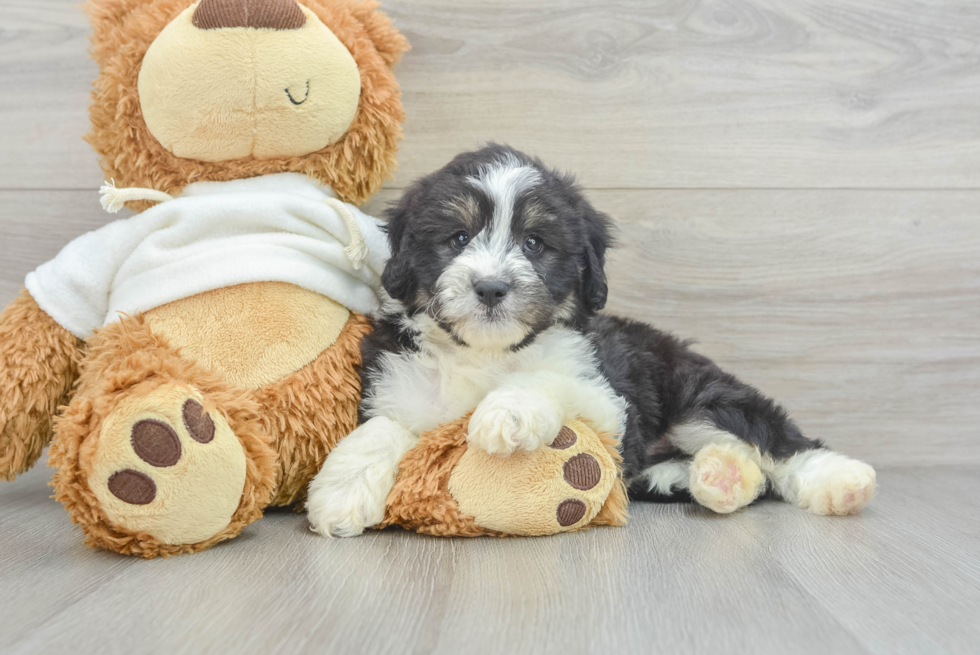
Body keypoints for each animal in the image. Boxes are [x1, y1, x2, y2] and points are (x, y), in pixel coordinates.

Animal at [306, 145, 872, 540]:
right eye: (458, 237)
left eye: (535, 242)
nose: (490, 287)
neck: (488, 353)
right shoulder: (399, 384)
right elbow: (383, 428)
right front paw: (340, 493)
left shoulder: (608, 404)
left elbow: (545, 380)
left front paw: (507, 413)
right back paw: (717, 478)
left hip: (698, 395)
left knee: (778, 444)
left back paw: (838, 481)